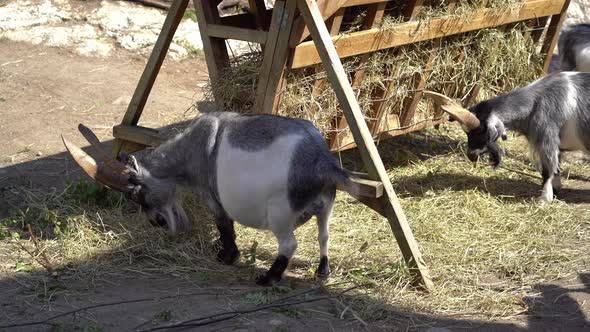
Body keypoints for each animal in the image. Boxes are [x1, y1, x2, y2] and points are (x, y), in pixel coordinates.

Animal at [65, 112, 370, 286]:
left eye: (139, 195)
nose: (157, 223)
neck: (195, 147)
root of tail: (321, 160)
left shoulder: (212, 196)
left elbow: (224, 226)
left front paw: (226, 256)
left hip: (280, 212)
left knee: (289, 244)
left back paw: (268, 277)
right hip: (327, 204)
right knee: (324, 235)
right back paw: (323, 271)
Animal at [428, 71, 590, 202]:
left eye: (481, 131)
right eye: (467, 133)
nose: (471, 155)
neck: (536, 102)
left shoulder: (547, 139)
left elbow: (547, 171)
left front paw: (544, 200)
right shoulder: (556, 146)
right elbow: (556, 169)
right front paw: (555, 192)